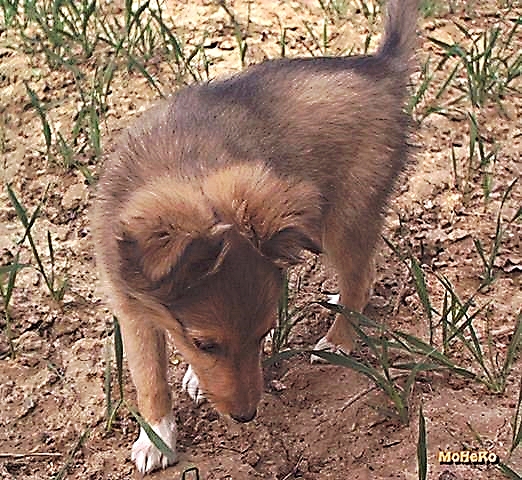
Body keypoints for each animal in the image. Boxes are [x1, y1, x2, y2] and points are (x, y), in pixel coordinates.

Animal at [92, 0, 418, 472]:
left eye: (266, 333)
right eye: (204, 343)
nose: (245, 417)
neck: (181, 164)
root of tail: (381, 67)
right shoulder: (130, 308)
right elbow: (150, 378)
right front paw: (158, 437)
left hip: (344, 217)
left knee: (360, 279)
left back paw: (338, 341)